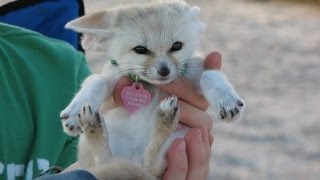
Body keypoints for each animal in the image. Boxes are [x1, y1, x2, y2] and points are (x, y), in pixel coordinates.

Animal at [60, 0, 245, 179]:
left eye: (176, 46)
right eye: (140, 49)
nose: (164, 71)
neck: (151, 85)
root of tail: (134, 160)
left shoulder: (195, 70)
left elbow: (210, 75)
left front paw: (226, 100)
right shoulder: (111, 75)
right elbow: (96, 82)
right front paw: (75, 109)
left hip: (181, 138)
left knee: (151, 162)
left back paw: (165, 119)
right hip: (89, 147)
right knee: (104, 160)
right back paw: (92, 125)